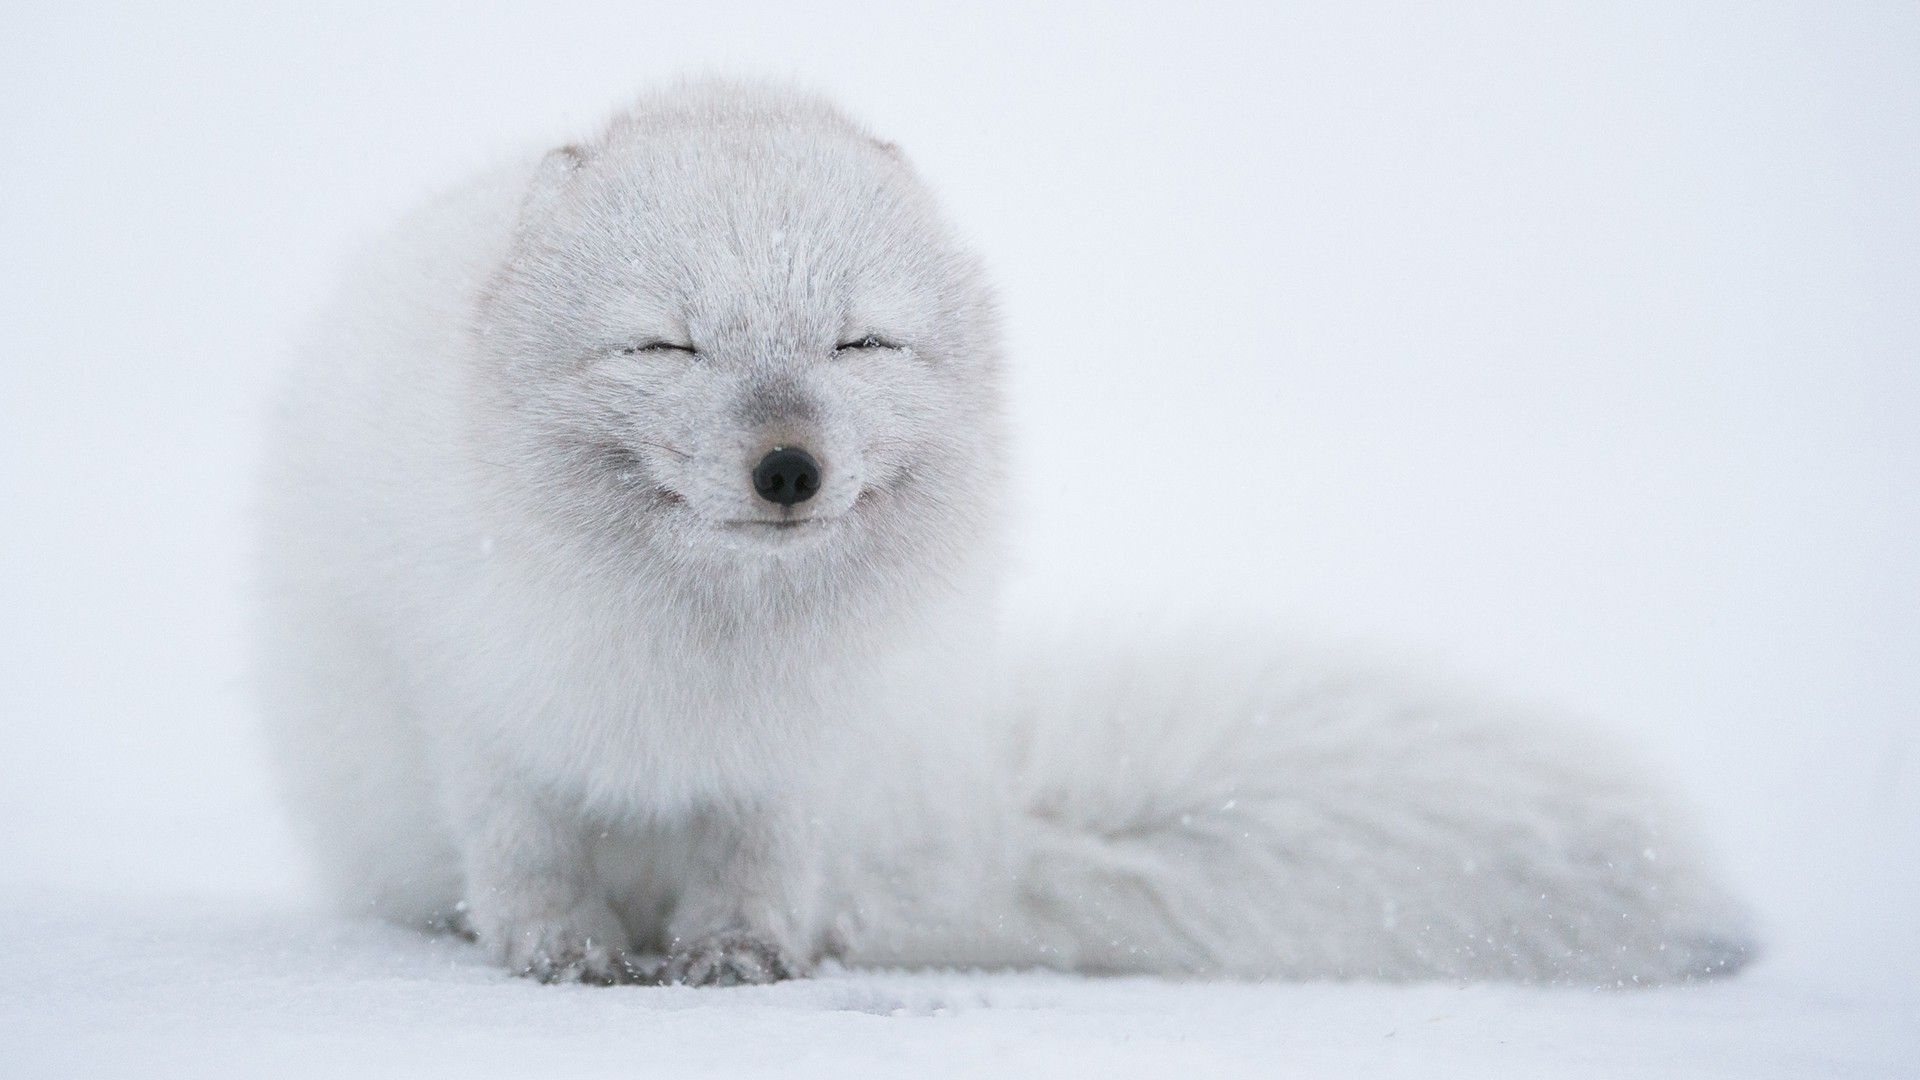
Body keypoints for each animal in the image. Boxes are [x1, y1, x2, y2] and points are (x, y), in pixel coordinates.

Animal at [255, 79, 1758, 980]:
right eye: (665, 344)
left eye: (860, 342)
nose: (789, 466)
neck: (710, 653)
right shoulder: (480, 703)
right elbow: (524, 851)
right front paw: (559, 951)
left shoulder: (800, 760)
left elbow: (755, 864)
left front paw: (740, 954)